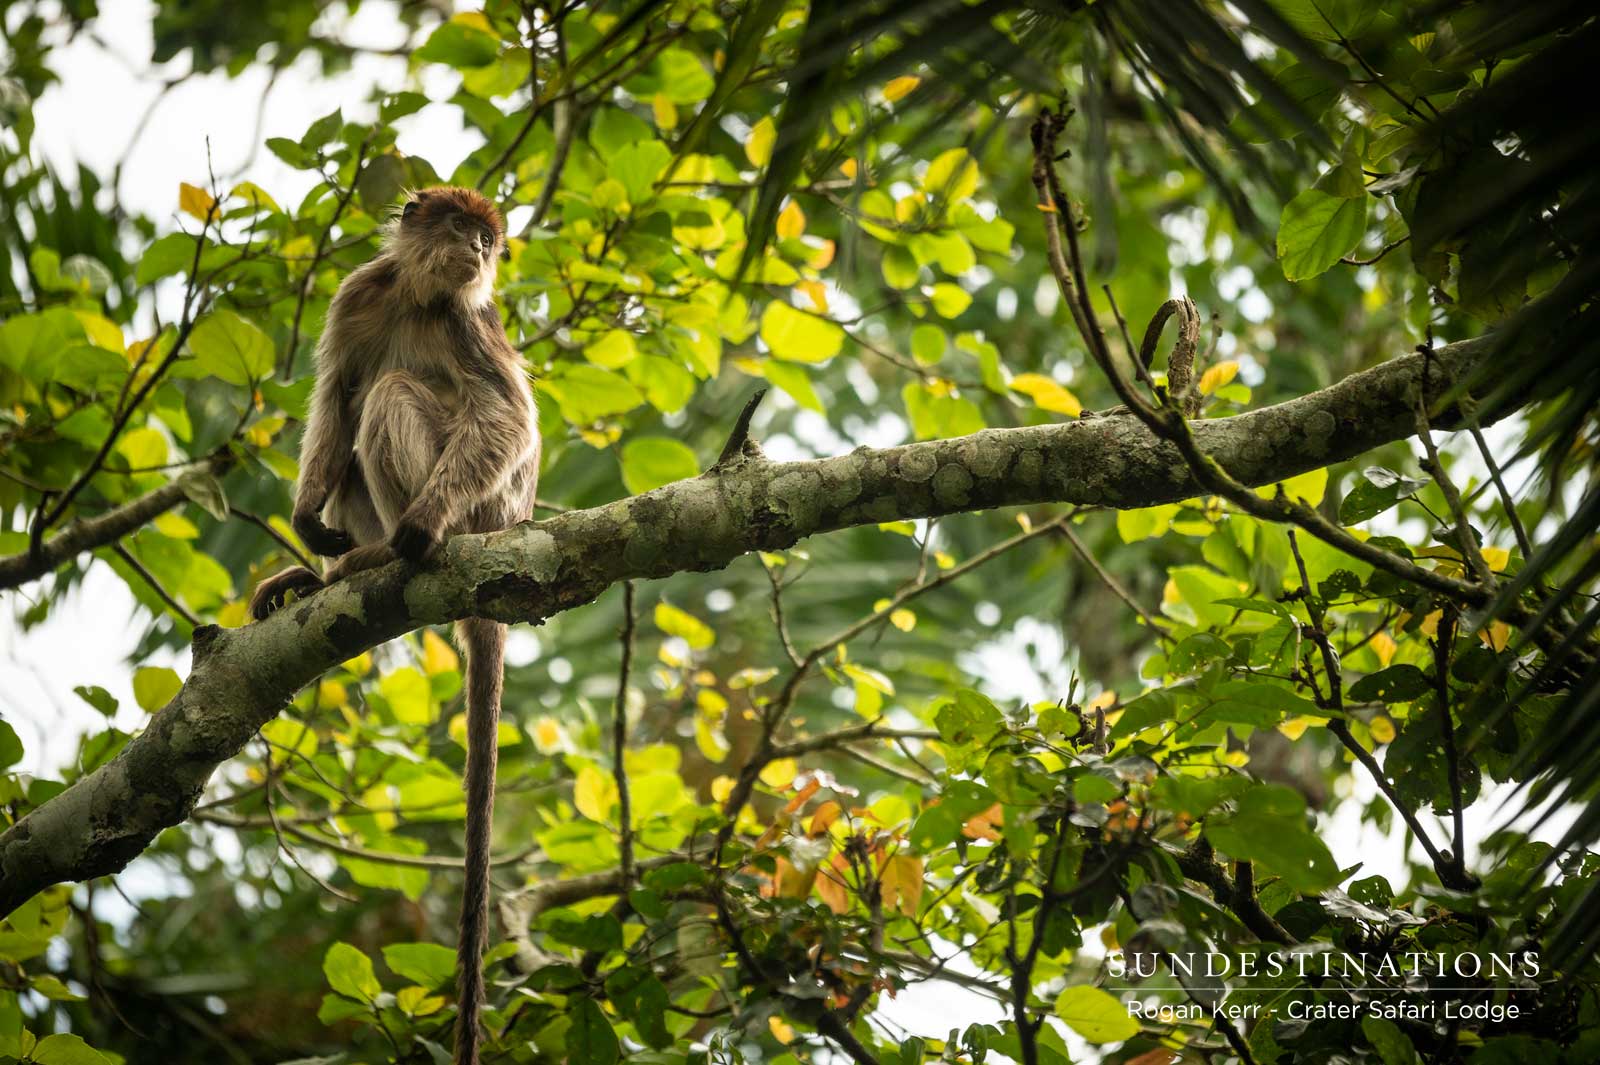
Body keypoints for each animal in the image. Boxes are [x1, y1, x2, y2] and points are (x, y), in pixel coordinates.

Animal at [249, 186, 539, 1065]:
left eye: (488, 243)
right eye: (464, 231)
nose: (479, 254)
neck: (420, 298)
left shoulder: (470, 323)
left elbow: (507, 418)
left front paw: (420, 529)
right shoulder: (359, 295)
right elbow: (333, 392)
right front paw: (306, 519)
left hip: (488, 509)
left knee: (397, 393)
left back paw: (395, 550)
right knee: (360, 404)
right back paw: (333, 566)